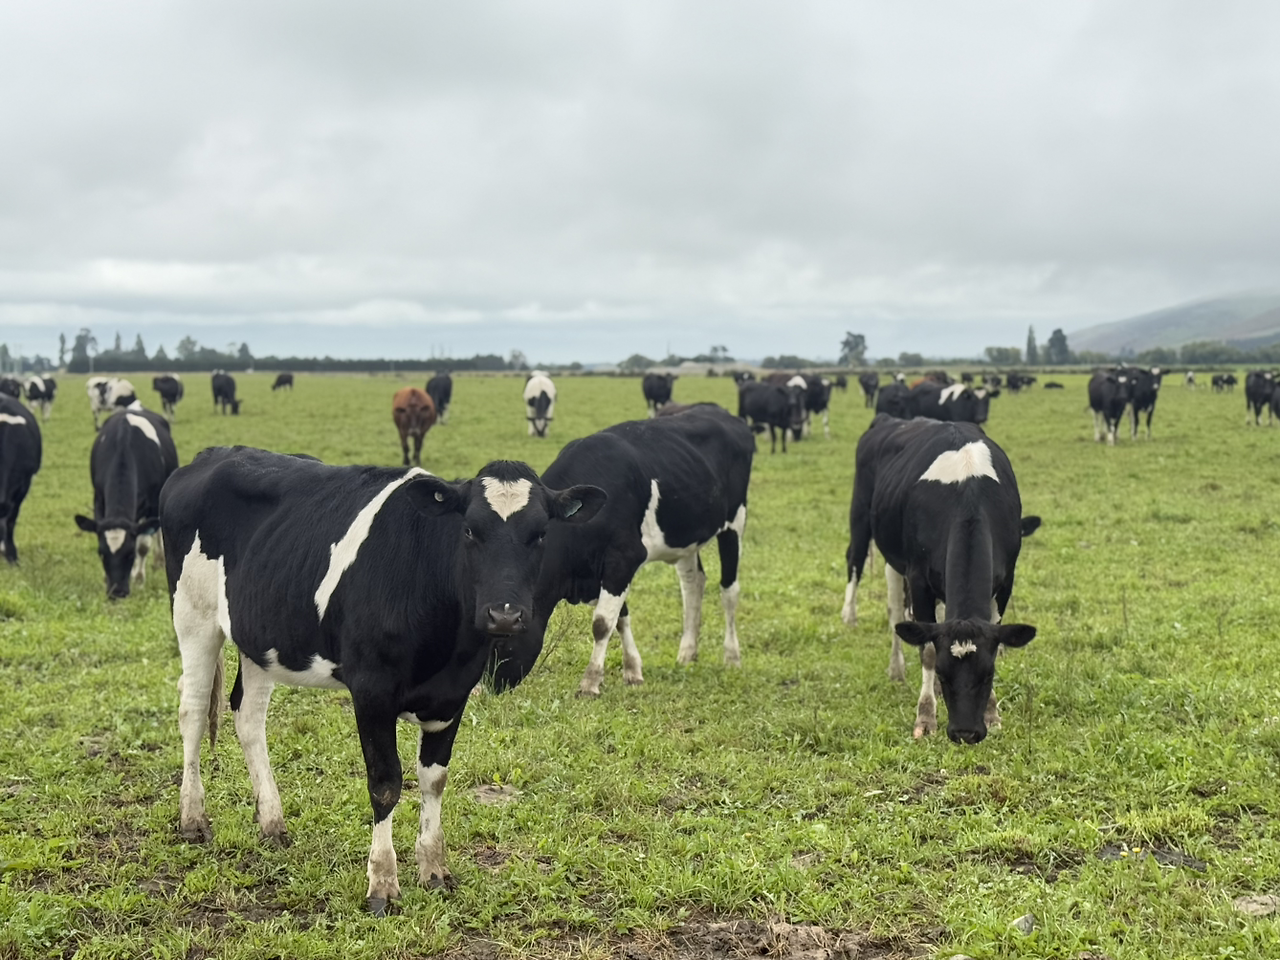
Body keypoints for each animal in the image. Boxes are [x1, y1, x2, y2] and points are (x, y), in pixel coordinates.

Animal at [73, 406, 178, 598]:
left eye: (129, 555)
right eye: (101, 554)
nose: (117, 592)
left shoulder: (152, 504)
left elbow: (142, 545)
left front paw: (138, 579)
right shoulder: (99, 499)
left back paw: (159, 560)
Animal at [160, 448, 606, 913]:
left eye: (540, 534)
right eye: (469, 529)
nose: (504, 615)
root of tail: (214, 454)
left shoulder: (453, 696)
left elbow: (434, 779)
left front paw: (434, 869)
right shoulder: (371, 691)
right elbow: (386, 783)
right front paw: (383, 884)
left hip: (262, 638)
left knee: (248, 718)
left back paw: (272, 823)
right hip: (193, 616)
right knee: (193, 710)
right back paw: (193, 818)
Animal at [492, 404, 754, 698]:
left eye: (504, 639)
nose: (488, 686)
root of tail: (719, 410)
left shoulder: (623, 558)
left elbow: (602, 622)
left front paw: (590, 682)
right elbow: (621, 618)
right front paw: (633, 671)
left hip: (734, 523)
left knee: (729, 591)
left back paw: (732, 657)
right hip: (686, 536)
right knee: (692, 584)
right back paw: (687, 652)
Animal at [840, 415, 1038, 743]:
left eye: (988, 674)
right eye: (945, 673)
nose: (966, 733)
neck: (968, 495)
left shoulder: (1006, 580)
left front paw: (992, 712)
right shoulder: (918, 579)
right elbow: (929, 651)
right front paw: (926, 716)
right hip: (862, 518)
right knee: (865, 575)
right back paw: (863, 630)